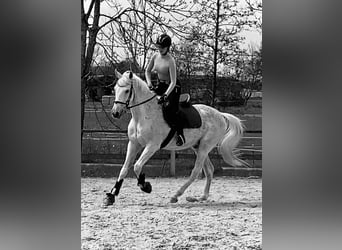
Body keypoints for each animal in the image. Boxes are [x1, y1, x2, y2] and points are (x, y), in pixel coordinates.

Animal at [104, 70, 248, 205]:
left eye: (127, 90)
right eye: (115, 90)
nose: (115, 113)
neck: (143, 116)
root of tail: (220, 115)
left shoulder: (152, 146)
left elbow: (137, 166)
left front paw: (145, 186)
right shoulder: (133, 144)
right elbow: (124, 169)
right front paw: (112, 195)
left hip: (205, 147)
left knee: (196, 171)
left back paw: (176, 195)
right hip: (198, 147)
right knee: (209, 170)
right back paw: (202, 197)